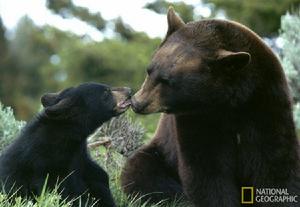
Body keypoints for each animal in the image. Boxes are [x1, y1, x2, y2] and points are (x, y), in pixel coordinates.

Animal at [120, 7, 300, 206]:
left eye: (167, 81)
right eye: (149, 70)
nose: (137, 102)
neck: (230, 102)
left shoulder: (265, 103)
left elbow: (273, 163)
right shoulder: (199, 118)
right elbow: (208, 169)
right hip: (160, 153)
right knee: (141, 172)